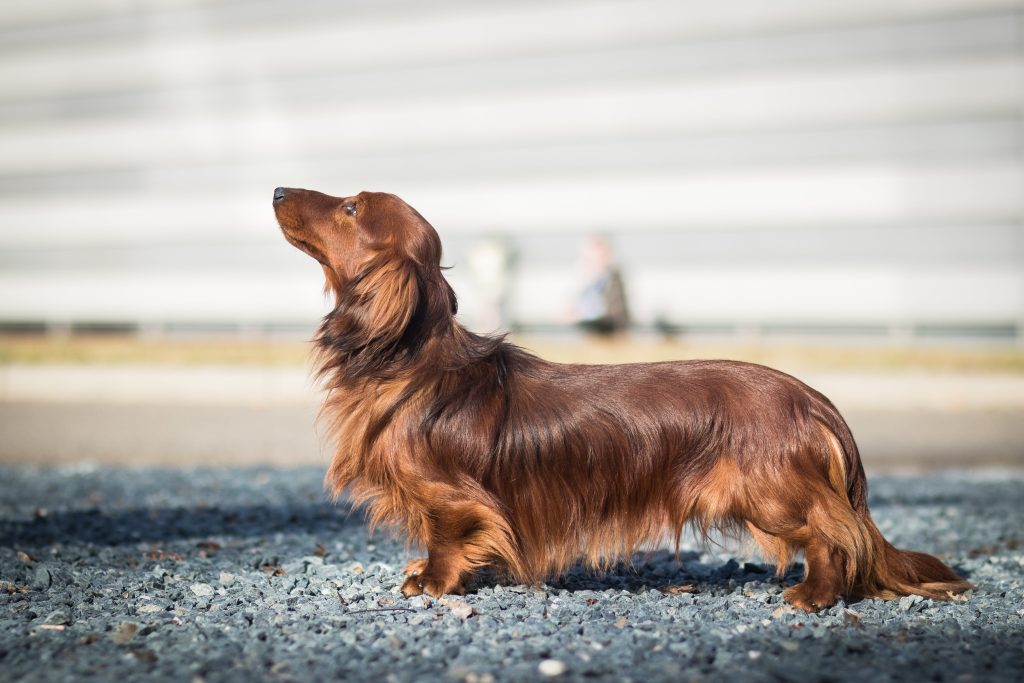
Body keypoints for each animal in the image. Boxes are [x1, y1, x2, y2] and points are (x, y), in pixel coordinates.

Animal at [270, 188, 966, 614]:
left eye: (351, 206)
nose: (277, 191)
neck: (413, 362)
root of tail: (813, 399)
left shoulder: (454, 497)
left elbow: (450, 536)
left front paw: (432, 582)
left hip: (771, 492)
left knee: (834, 536)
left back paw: (814, 595)